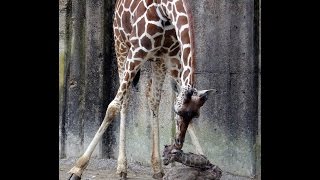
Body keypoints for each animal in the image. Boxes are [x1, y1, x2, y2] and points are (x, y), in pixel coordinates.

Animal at [68, 0, 216, 179]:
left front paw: (204, 162)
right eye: (177, 112)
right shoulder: (137, 51)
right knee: (125, 100)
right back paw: (122, 167)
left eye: (195, 115)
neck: (166, 10)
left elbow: (167, 97)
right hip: (121, 46)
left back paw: (157, 167)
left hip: (157, 61)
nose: (179, 142)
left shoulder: (170, 57)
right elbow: (112, 107)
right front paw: (77, 169)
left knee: (153, 99)